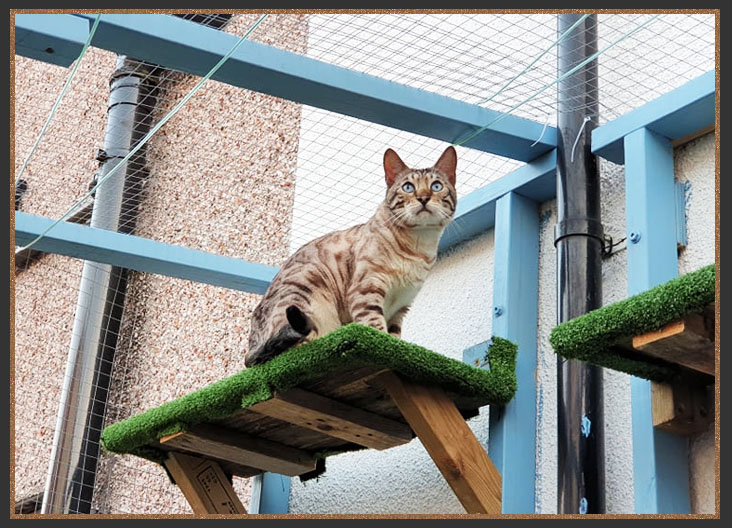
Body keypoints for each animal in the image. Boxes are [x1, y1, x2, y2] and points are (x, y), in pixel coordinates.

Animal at [246, 145, 458, 368]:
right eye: (408, 187)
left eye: (436, 186)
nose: (423, 198)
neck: (419, 246)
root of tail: (251, 345)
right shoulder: (366, 291)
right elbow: (377, 330)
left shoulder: (400, 307)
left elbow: (394, 337)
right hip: (305, 290)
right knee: (288, 350)